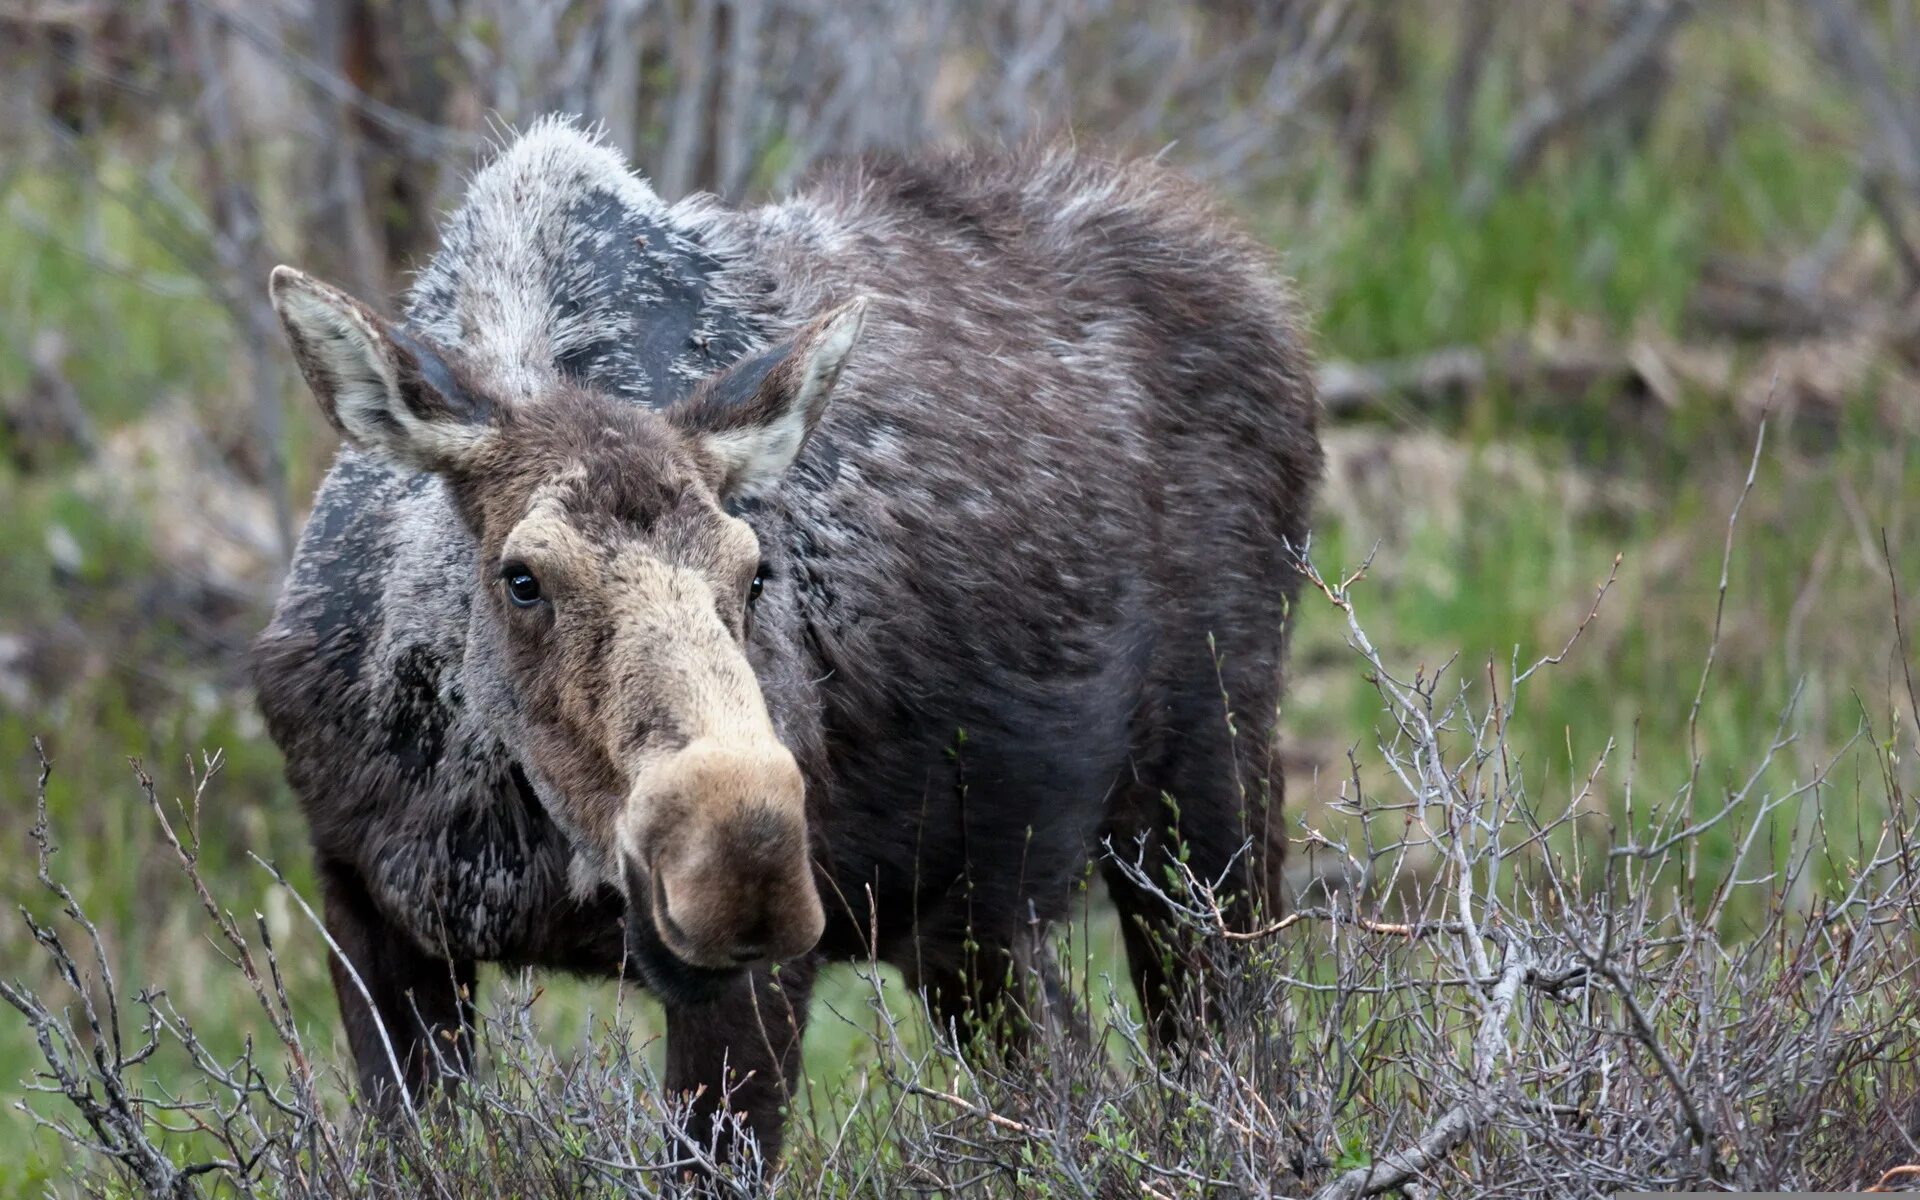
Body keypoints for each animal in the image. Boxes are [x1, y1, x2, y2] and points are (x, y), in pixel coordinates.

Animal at [259, 119, 1320, 1159]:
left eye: (753, 568)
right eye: (522, 577)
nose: (744, 858)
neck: (493, 815)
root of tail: (1266, 288)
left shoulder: (762, 977)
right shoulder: (363, 903)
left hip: (1208, 789)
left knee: (1238, 1051)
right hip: (973, 919)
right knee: (1067, 1079)